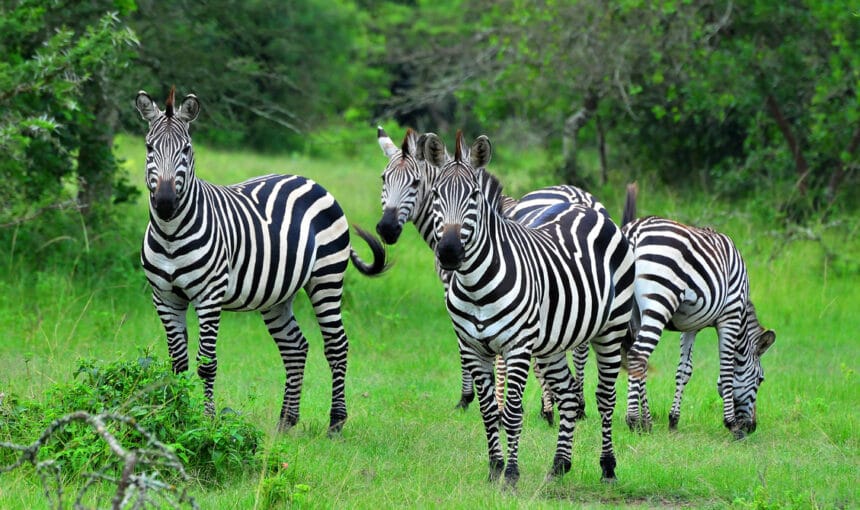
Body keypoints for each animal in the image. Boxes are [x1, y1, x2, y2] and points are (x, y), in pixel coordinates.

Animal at [135, 87, 388, 433]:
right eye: (149, 147)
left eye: (186, 149)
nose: (164, 203)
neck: (171, 234)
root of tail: (310, 181)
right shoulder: (164, 298)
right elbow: (177, 364)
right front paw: (175, 416)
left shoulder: (209, 297)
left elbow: (206, 364)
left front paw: (207, 421)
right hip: (277, 295)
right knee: (296, 347)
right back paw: (286, 421)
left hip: (327, 278)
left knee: (337, 346)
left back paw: (336, 422)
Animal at [376, 127, 598, 423]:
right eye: (384, 179)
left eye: (415, 183)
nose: (386, 229)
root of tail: (578, 197)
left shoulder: (461, 292)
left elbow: (470, 349)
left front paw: (469, 398)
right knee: (581, 345)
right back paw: (578, 404)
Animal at [425, 131, 634, 486]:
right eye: (437, 194)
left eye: (475, 196)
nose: (450, 252)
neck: (475, 286)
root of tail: (589, 209)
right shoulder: (472, 348)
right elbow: (488, 412)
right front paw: (494, 469)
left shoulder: (517, 347)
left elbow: (511, 412)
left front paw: (511, 474)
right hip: (553, 344)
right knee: (567, 394)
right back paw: (559, 465)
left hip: (610, 330)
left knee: (605, 398)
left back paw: (607, 467)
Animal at [621, 183, 776, 437]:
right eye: (761, 380)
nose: (752, 427)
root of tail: (634, 231)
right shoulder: (730, 315)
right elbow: (726, 369)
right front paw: (731, 424)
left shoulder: (690, 325)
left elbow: (684, 370)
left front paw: (673, 420)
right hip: (660, 300)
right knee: (638, 354)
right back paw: (634, 421)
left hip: (632, 311)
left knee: (636, 357)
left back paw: (646, 421)